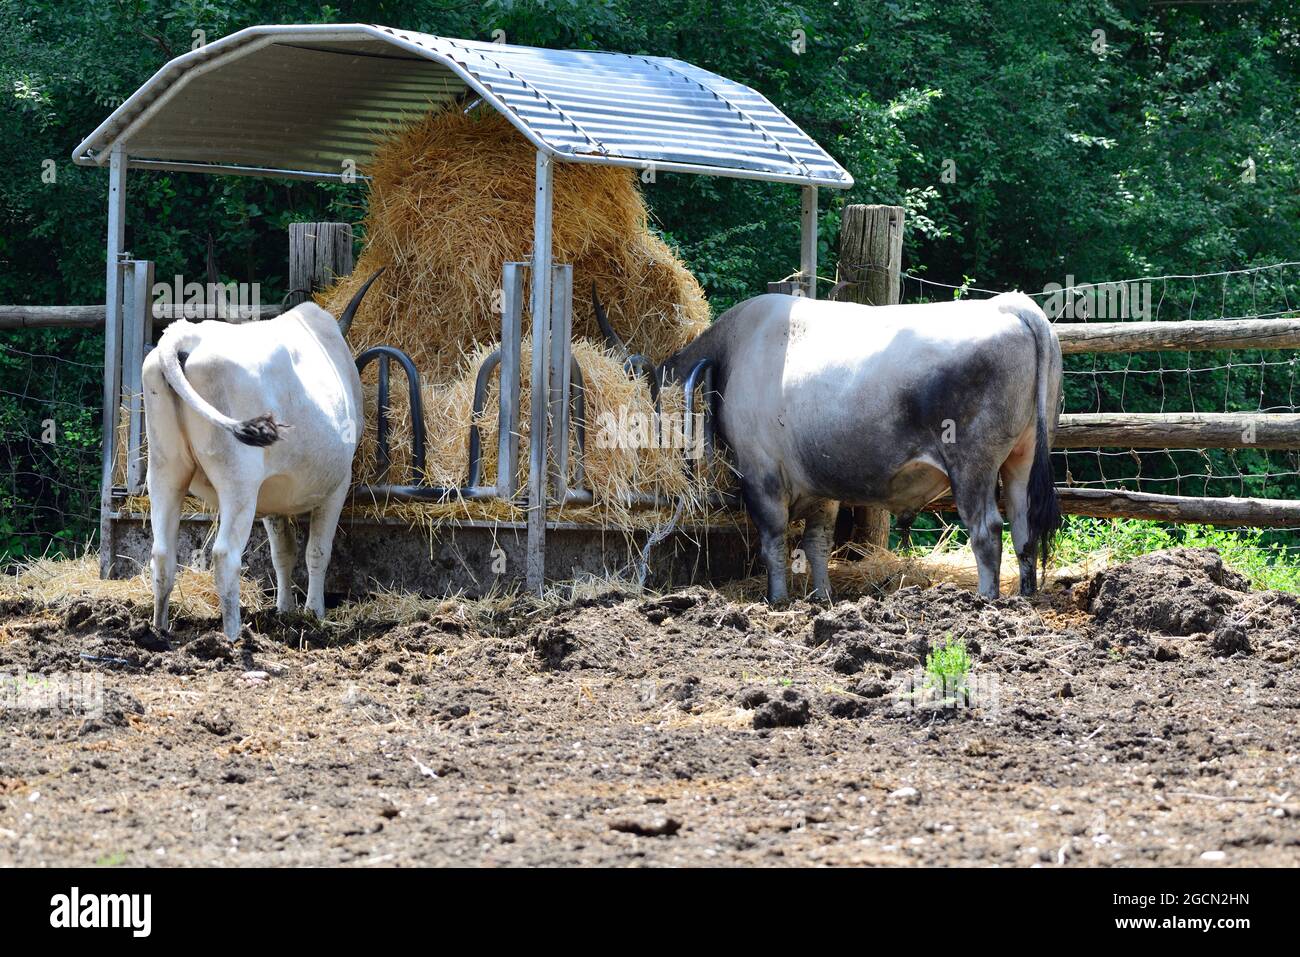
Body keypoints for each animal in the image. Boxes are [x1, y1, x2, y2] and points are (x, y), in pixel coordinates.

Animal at [146, 273, 384, 639]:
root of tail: (184, 337)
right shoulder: (337, 485)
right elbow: (318, 551)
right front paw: (314, 613)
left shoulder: (271, 498)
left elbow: (282, 552)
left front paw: (285, 610)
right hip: (238, 482)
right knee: (225, 556)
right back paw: (234, 636)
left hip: (165, 470)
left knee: (162, 553)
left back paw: (159, 631)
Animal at [603, 293, 1060, 605]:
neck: (736, 352)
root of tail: (1011, 306)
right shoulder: (820, 487)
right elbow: (817, 543)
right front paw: (820, 597)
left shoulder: (761, 474)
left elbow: (773, 540)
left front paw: (777, 599)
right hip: (1022, 458)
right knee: (1024, 528)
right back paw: (1024, 595)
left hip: (971, 464)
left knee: (987, 530)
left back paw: (984, 600)